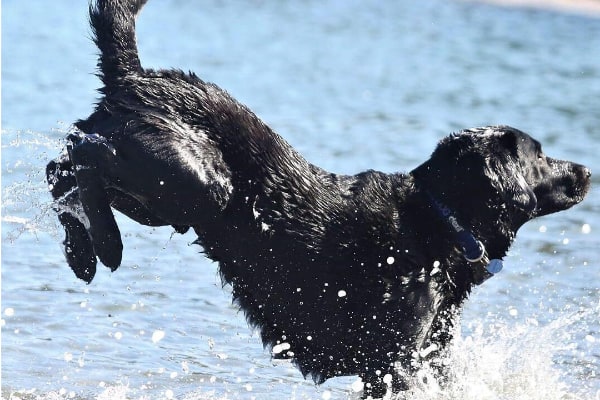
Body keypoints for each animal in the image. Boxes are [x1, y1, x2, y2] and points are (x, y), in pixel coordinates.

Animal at [47, 0, 592, 396]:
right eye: (540, 155)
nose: (587, 170)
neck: (441, 222)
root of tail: (136, 76)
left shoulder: (428, 355)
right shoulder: (394, 364)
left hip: (164, 196)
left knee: (65, 170)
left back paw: (83, 250)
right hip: (193, 180)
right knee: (81, 156)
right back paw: (104, 245)